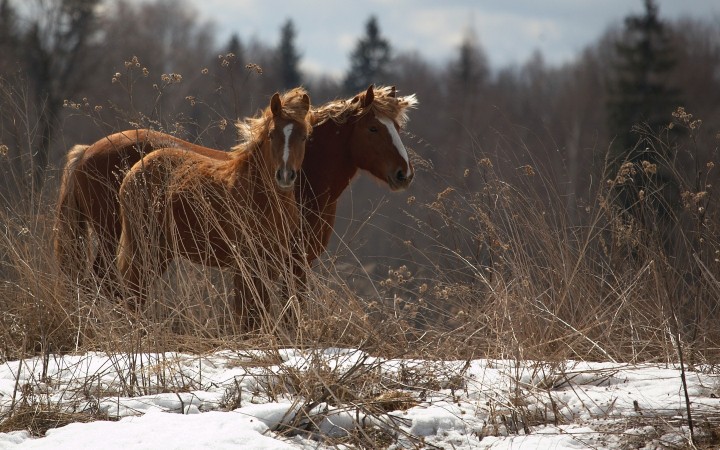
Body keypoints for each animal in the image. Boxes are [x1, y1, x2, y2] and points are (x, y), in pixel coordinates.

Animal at [116, 89, 310, 330]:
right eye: (272, 134)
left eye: (304, 137)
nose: (285, 175)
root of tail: (134, 172)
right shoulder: (245, 261)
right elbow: (246, 313)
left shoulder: (270, 261)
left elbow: (259, 310)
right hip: (144, 246)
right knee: (133, 291)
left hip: (160, 251)